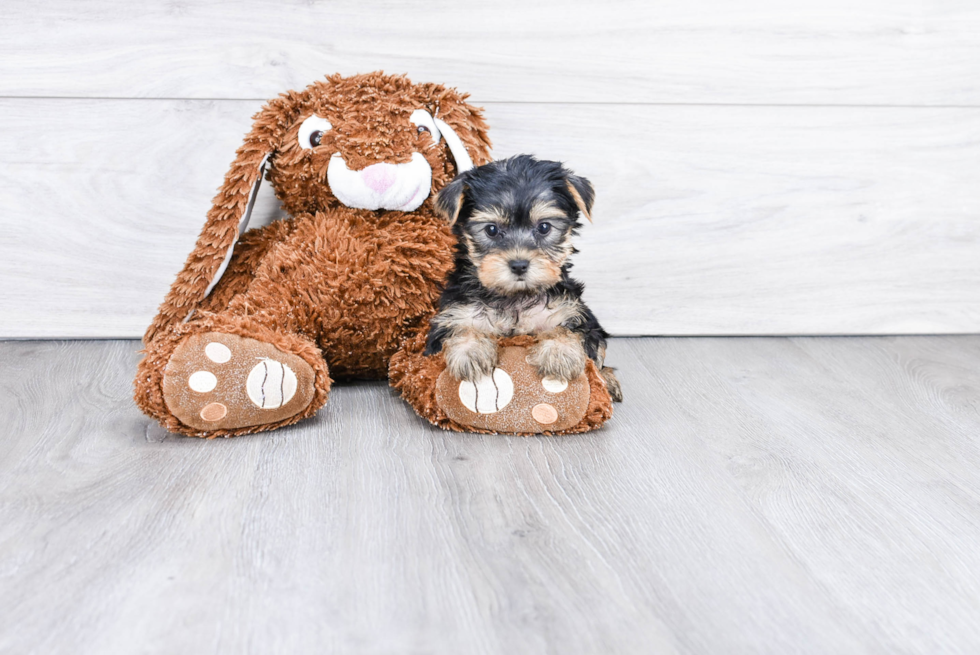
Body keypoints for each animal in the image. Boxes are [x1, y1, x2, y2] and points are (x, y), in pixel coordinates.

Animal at [424, 156, 624, 402]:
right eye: (491, 230)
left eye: (544, 227)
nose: (519, 264)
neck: (515, 296)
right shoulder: (451, 314)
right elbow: (460, 327)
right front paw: (470, 352)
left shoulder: (574, 312)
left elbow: (571, 331)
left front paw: (559, 353)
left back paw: (608, 381)